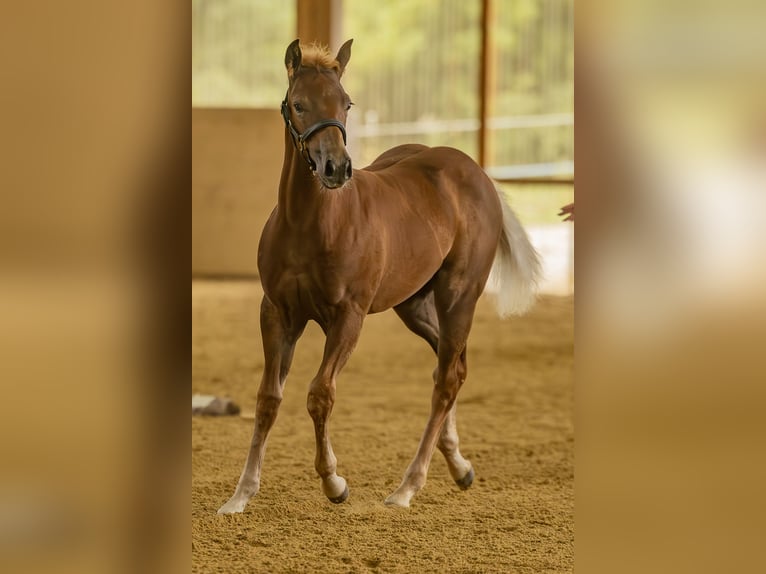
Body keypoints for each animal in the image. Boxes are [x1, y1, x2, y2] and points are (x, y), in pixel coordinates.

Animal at [218, 39, 541, 513]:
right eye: (298, 104)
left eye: (346, 104)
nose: (336, 168)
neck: (311, 224)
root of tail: (475, 172)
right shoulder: (277, 313)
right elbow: (268, 398)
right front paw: (240, 495)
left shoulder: (348, 317)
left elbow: (320, 394)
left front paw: (334, 483)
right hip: (414, 305)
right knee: (451, 366)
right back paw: (458, 466)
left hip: (458, 296)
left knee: (447, 378)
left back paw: (407, 487)